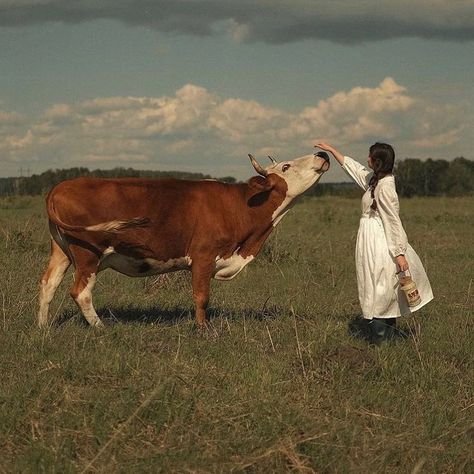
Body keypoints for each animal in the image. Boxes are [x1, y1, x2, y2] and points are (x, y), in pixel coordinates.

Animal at [38, 152, 330, 326]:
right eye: (286, 166)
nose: (322, 153)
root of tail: (61, 187)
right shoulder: (203, 256)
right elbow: (201, 297)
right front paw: (204, 329)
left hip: (61, 251)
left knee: (47, 285)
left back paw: (43, 327)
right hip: (87, 255)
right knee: (80, 291)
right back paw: (100, 327)